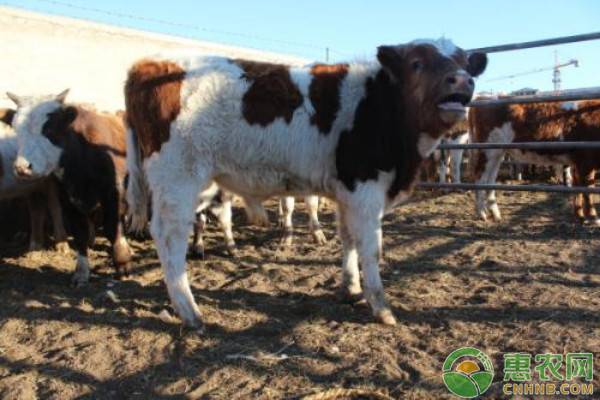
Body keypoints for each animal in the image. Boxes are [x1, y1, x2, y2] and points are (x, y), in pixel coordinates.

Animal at [0, 108, 68, 252]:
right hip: (33, 185)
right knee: (37, 209)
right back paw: (34, 247)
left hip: (49, 178)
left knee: (54, 206)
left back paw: (62, 248)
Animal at [8, 92, 132, 282]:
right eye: (16, 130)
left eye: (49, 130)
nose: (22, 168)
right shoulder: (66, 198)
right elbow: (79, 233)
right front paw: (81, 272)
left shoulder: (114, 193)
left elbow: (113, 228)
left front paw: (122, 263)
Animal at [125, 38, 488, 328]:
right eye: (417, 63)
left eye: (463, 61)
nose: (461, 79)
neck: (379, 103)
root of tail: (146, 64)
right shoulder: (366, 191)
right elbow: (371, 247)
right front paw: (381, 306)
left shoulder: (346, 192)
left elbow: (348, 239)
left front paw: (351, 288)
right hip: (177, 178)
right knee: (170, 238)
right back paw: (190, 311)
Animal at [468, 100, 600, 223]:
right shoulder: (586, 161)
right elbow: (588, 189)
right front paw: (593, 217)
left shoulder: (577, 163)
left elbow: (578, 188)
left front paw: (579, 215)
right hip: (488, 150)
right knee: (480, 177)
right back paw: (482, 213)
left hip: (498, 153)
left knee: (490, 180)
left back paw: (495, 214)